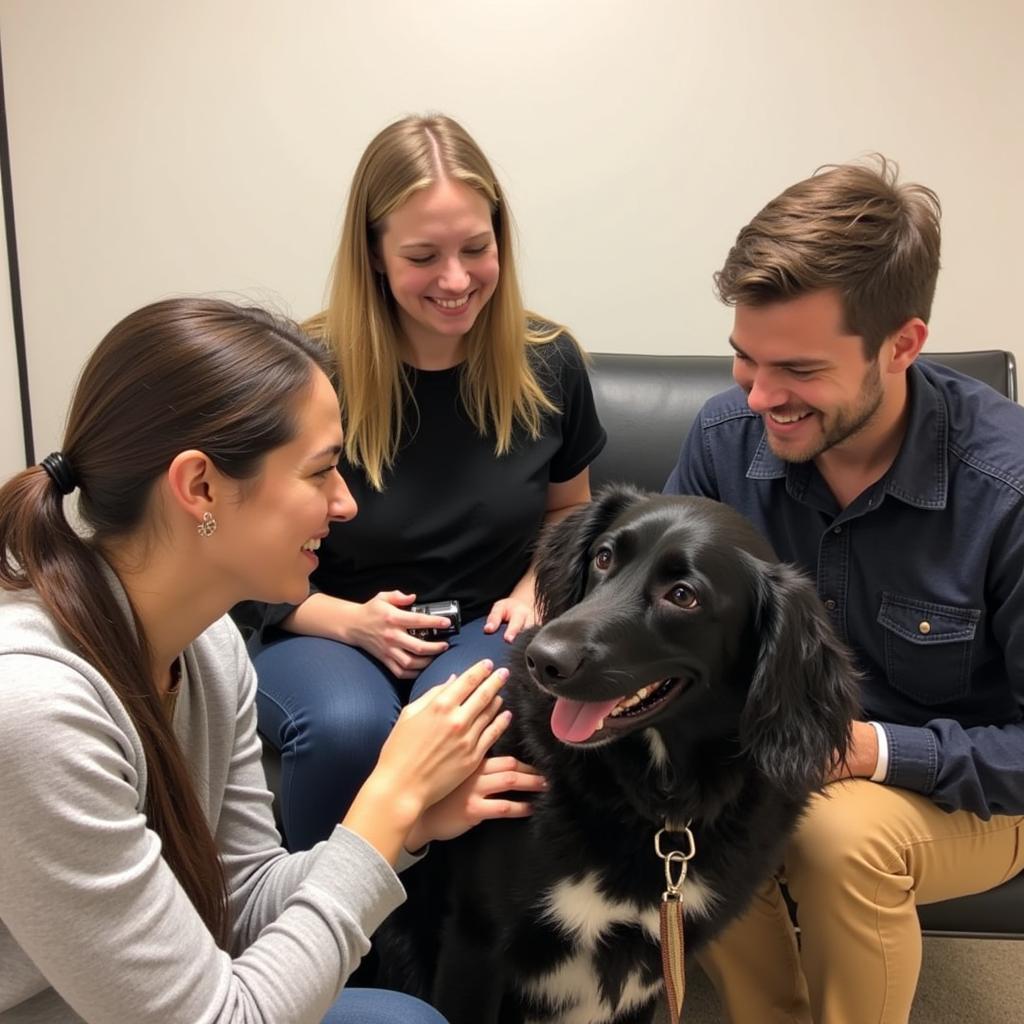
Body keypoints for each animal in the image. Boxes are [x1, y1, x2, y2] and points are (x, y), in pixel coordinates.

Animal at [374, 489, 856, 1024]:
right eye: (604, 557)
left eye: (683, 595)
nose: (543, 660)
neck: (657, 805)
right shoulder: (474, 940)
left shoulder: (657, 963)